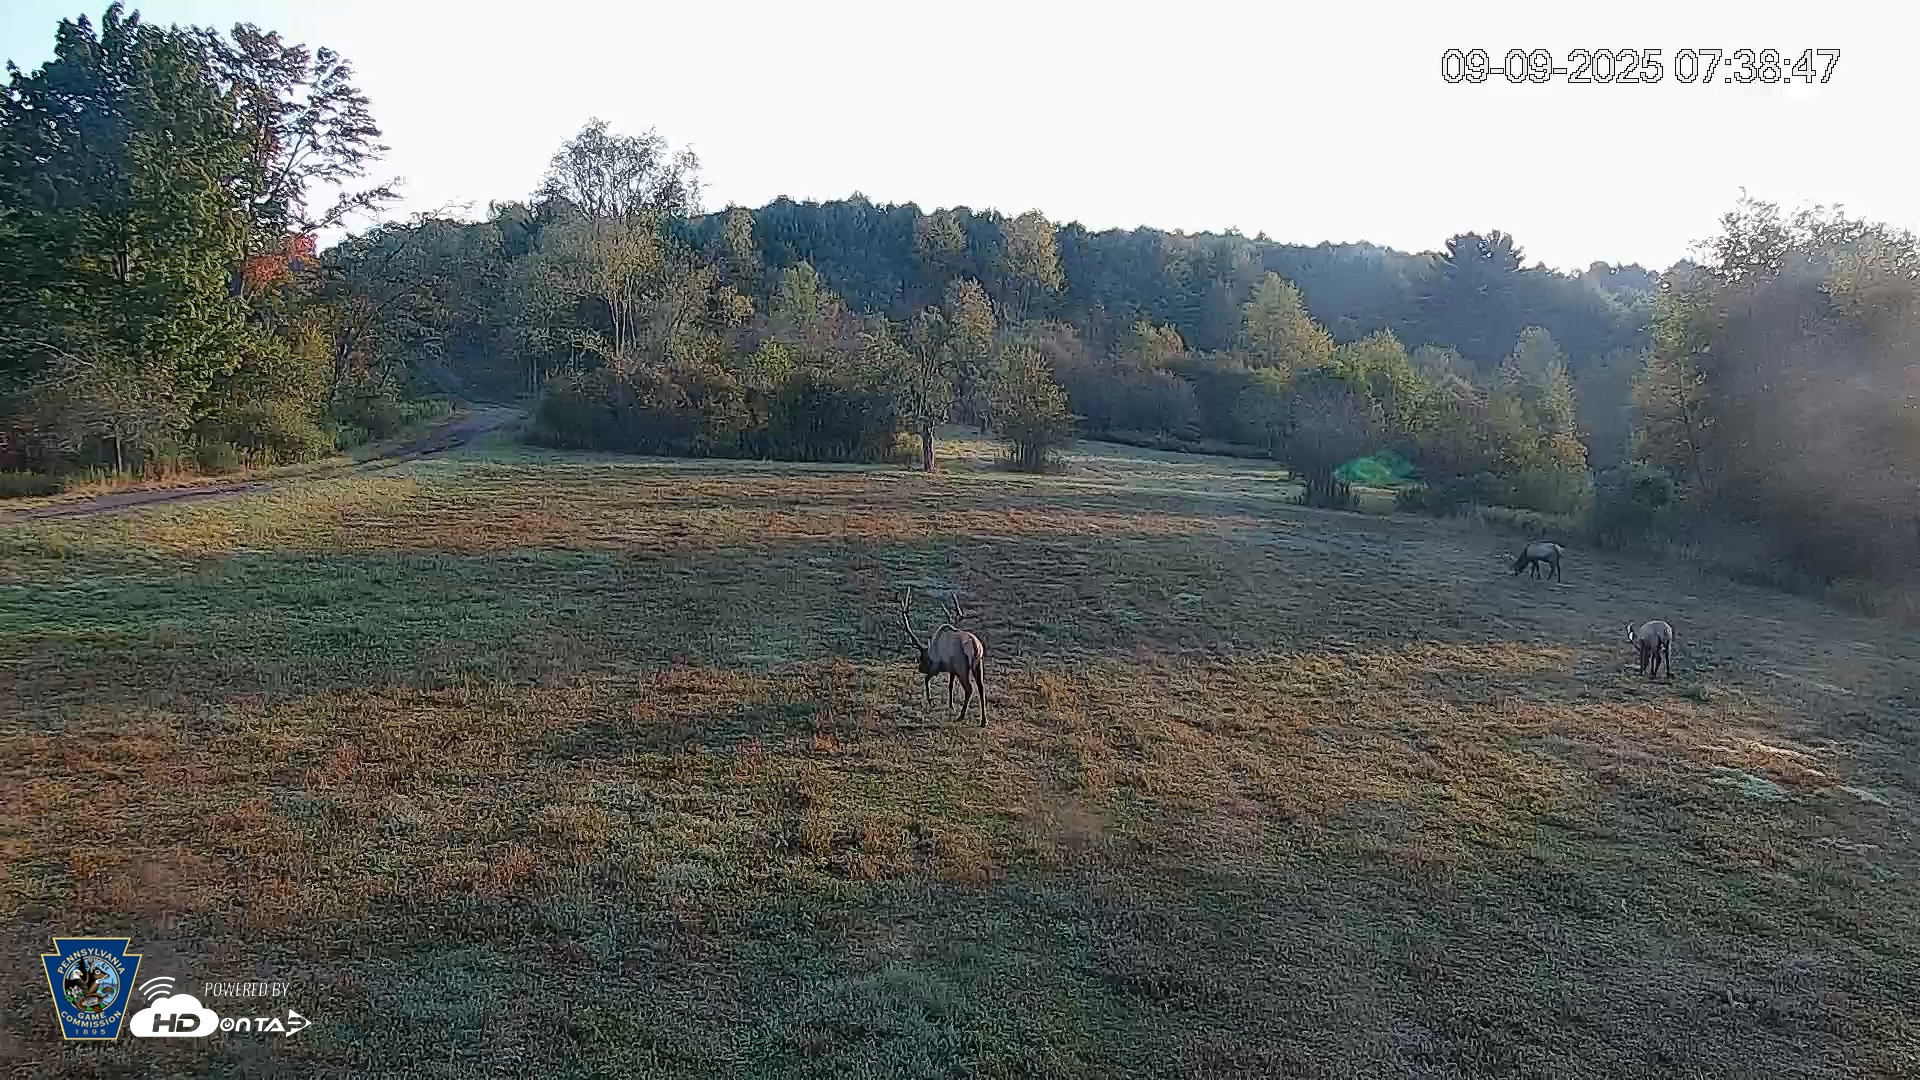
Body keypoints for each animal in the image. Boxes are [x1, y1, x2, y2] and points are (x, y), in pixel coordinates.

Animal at [900, 588, 986, 725]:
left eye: (923, 658)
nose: (920, 668)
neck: (933, 649)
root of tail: (975, 646)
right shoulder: (952, 669)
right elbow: (950, 686)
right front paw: (950, 705)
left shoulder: (938, 666)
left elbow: (927, 679)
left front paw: (930, 701)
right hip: (978, 665)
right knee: (981, 687)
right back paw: (983, 721)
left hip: (962, 667)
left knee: (969, 689)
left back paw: (961, 716)